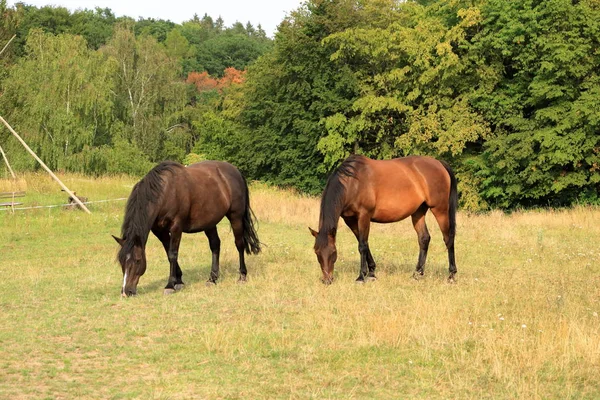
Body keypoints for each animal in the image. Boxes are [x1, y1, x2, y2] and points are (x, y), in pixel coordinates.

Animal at [112, 160, 260, 296]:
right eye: (121, 261)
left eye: (137, 260)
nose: (126, 292)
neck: (165, 192)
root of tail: (236, 171)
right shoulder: (160, 232)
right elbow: (168, 253)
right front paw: (179, 281)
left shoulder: (176, 227)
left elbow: (173, 254)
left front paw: (170, 285)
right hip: (210, 222)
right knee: (215, 245)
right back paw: (212, 279)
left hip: (236, 217)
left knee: (239, 244)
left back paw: (242, 276)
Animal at [310, 155, 460, 282]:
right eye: (317, 252)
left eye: (333, 253)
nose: (327, 280)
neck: (352, 183)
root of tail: (439, 163)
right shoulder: (350, 220)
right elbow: (364, 243)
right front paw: (371, 272)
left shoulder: (364, 216)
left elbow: (362, 245)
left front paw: (361, 276)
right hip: (418, 212)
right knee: (424, 239)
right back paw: (417, 274)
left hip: (440, 210)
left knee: (448, 238)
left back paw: (451, 275)